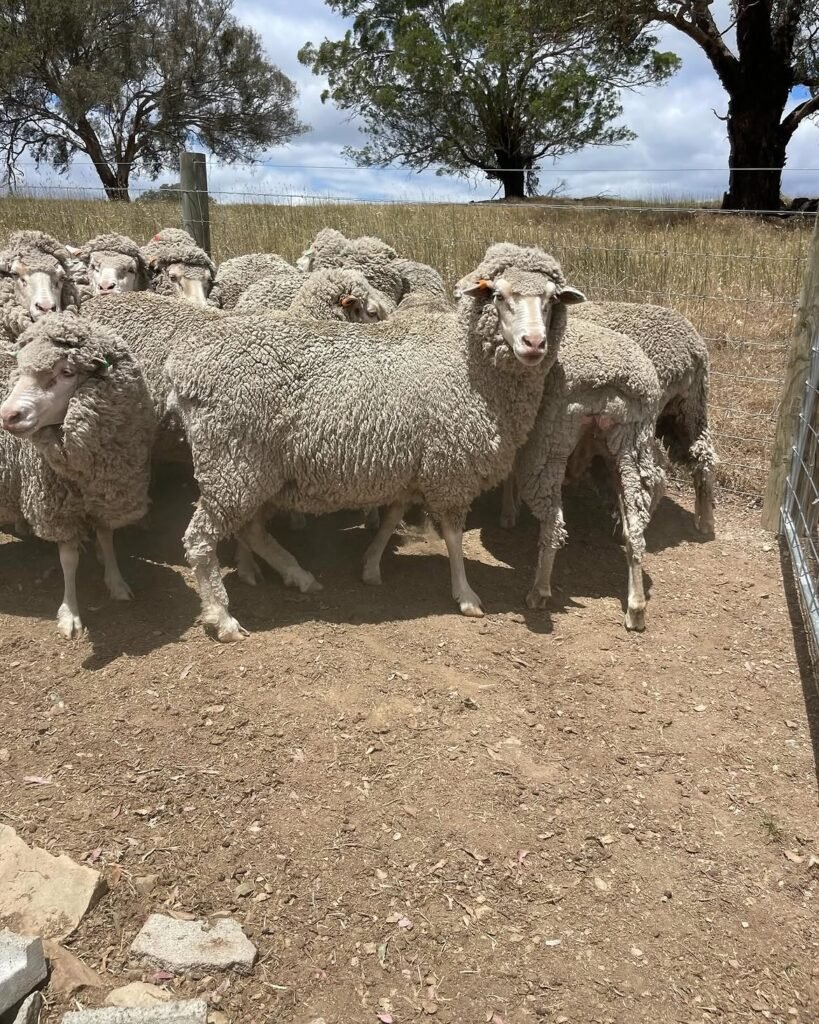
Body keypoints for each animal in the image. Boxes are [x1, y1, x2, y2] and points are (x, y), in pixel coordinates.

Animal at [0, 313, 155, 637]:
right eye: (20, 369)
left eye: (67, 372)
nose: (8, 415)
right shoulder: (58, 510)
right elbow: (68, 561)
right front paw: (70, 613)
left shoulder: (105, 493)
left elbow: (107, 538)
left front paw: (116, 581)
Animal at [165, 243, 586, 641]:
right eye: (499, 295)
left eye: (552, 299)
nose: (534, 343)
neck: (466, 365)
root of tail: (187, 369)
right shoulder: (450, 468)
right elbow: (452, 538)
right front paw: (466, 595)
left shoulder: (412, 465)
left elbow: (393, 517)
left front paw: (369, 565)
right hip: (233, 466)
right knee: (201, 538)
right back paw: (222, 617)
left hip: (252, 471)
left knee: (250, 529)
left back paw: (296, 575)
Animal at [508, 323, 665, 631]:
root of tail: (610, 378)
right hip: (632, 445)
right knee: (636, 530)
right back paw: (636, 607)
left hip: (549, 442)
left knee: (554, 523)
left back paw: (539, 591)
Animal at [570, 301, 716, 535]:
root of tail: (690, 351)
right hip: (690, 409)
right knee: (703, 457)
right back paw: (705, 520)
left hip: (641, 421)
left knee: (652, 471)